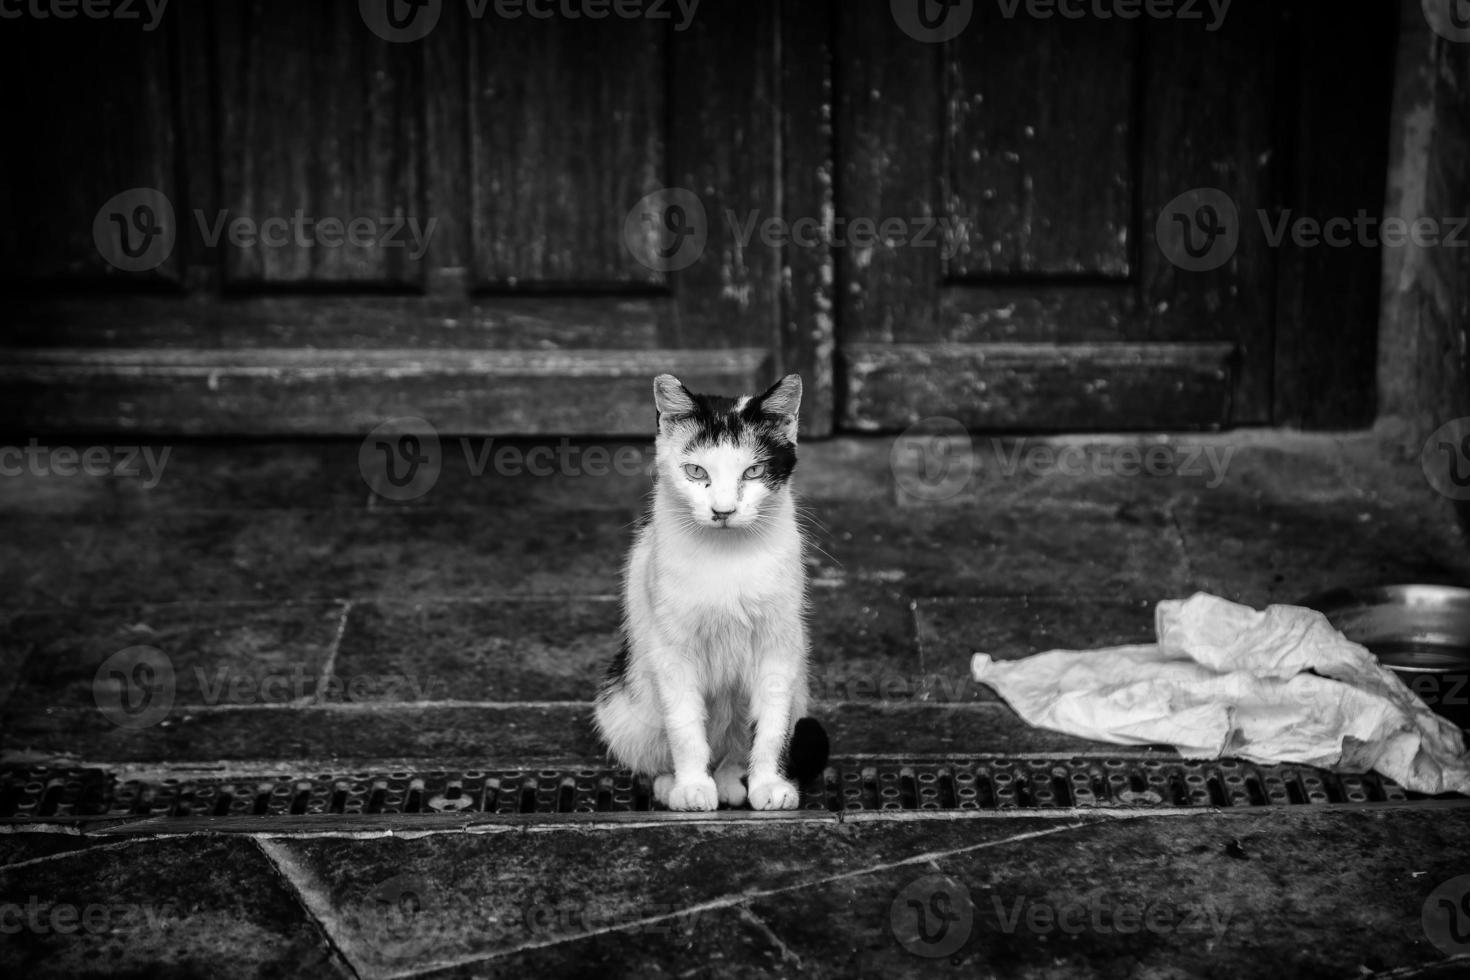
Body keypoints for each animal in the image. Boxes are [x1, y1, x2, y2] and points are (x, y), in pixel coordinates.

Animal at [593, 371, 829, 811]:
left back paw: (732, 780)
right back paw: (672, 784)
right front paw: (691, 787)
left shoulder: (778, 647)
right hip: (622, 707)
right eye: (695, 471)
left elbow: (770, 726)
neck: (727, 556)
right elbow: (685, 728)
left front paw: (768, 784)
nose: (723, 511)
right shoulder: (673, 651)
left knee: (738, 742)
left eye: (753, 472)